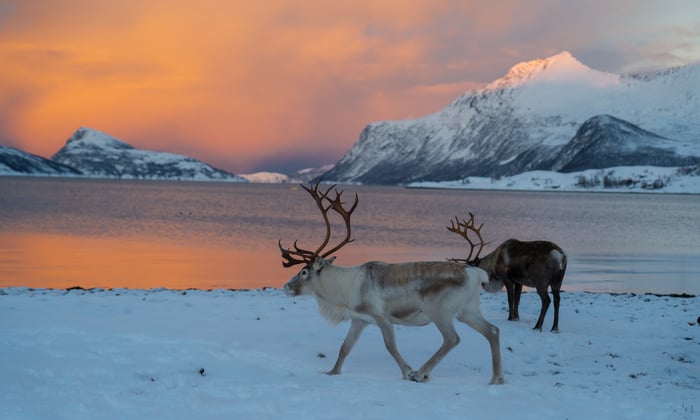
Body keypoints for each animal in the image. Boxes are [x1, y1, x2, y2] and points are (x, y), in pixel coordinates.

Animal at [279, 182, 505, 384]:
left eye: (304, 271)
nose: (286, 287)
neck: (346, 288)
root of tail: (475, 272)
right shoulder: (359, 320)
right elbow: (345, 347)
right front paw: (332, 373)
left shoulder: (381, 317)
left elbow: (390, 346)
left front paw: (407, 371)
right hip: (468, 310)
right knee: (493, 331)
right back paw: (497, 379)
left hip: (440, 311)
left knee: (452, 339)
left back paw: (421, 373)